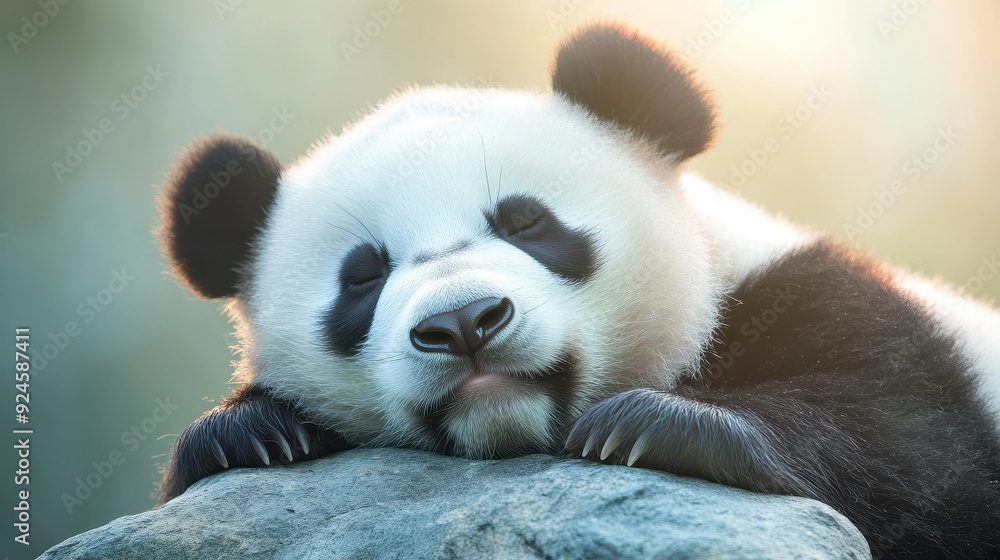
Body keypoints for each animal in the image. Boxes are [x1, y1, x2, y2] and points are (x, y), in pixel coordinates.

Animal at [157, 23, 1000, 559]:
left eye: (526, 221)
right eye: (362, 276)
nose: (464, 321)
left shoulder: (825, 302)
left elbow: (915, 456)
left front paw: (659, 424)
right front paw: (251, 432)